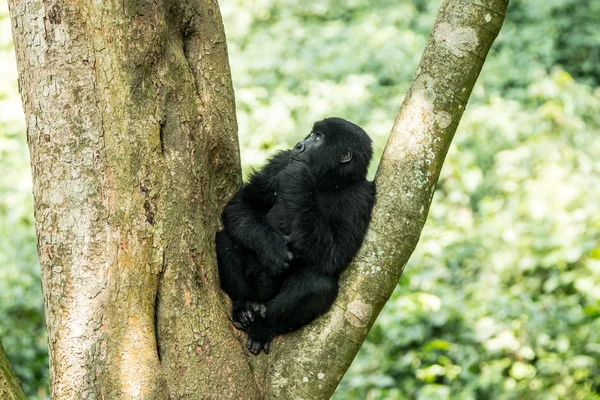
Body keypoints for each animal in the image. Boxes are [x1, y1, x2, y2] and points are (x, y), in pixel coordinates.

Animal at [214, 117, 376, 354]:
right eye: (312, 134)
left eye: (318, 138)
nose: (299, 145)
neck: (329, 182)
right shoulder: (280, 162)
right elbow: (242, 205)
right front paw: (271, 247)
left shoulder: (361, 196)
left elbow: (334, 256)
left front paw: (299, 180)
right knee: (226, 240)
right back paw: (243, 305)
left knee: (318, 284)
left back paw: (263, 327)